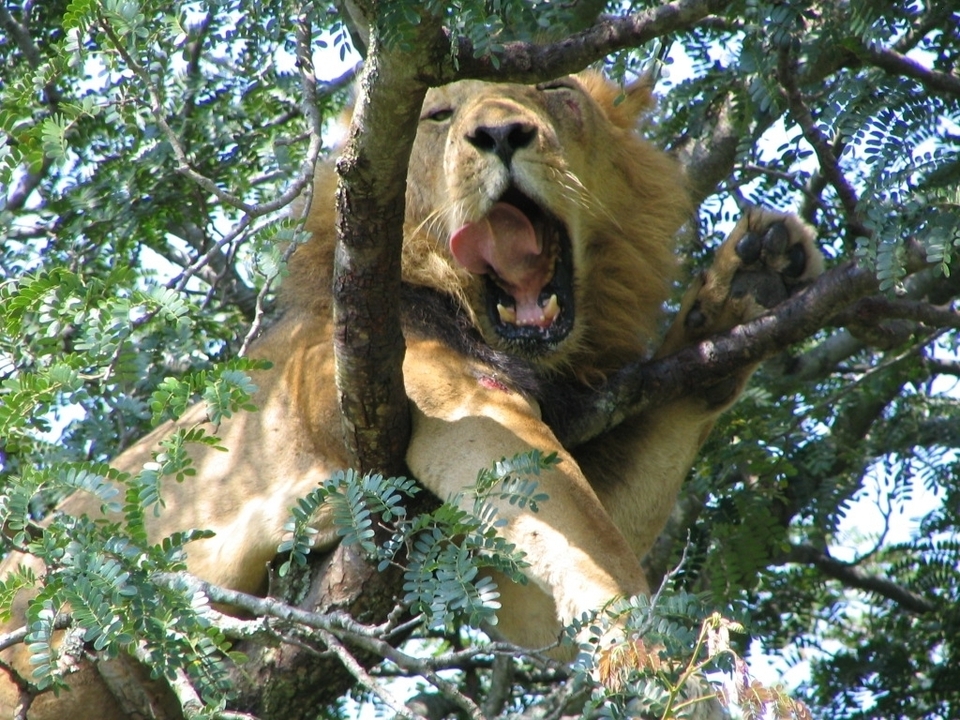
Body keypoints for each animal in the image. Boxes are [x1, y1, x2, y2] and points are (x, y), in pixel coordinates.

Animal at [0, 73, 822, 718]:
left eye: (557, 93)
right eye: (438, 116)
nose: (502, 133)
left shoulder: (502, 567)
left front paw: (746, 288)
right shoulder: (454, 406)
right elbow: (602, 553)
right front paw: (666, 666)